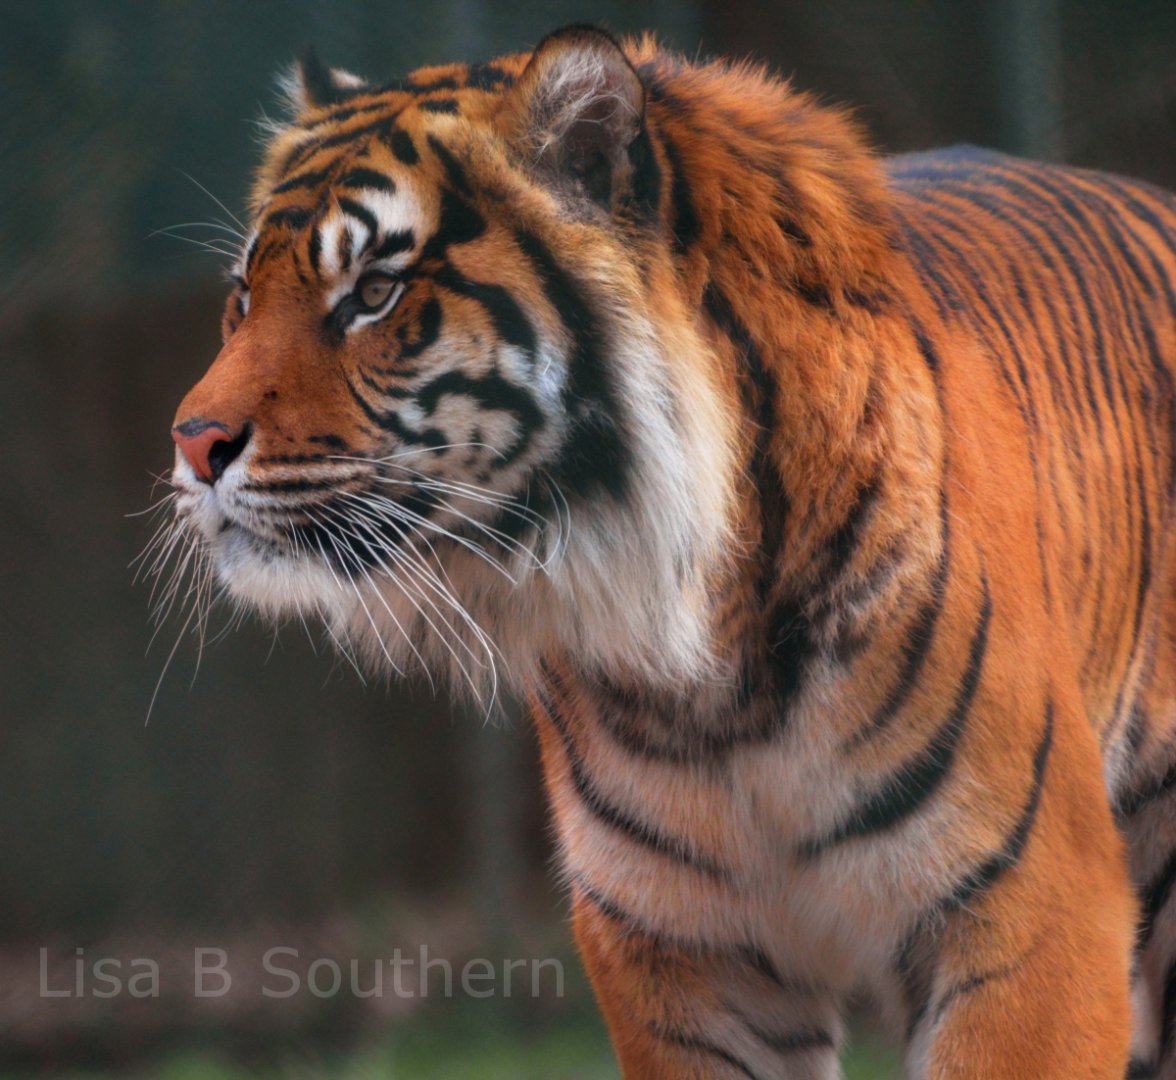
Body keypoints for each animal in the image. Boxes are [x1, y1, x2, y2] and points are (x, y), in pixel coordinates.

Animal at [162, 24, 1176, 1079]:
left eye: (372, 292)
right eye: (243, 296)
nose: (191, 443)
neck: (709, 672)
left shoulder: (1031, 912)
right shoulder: (680, 952)